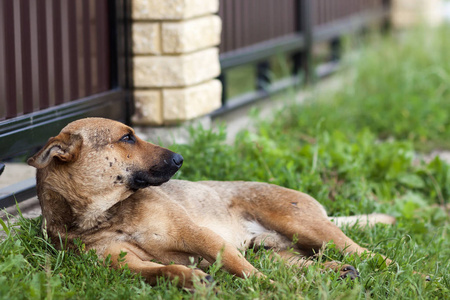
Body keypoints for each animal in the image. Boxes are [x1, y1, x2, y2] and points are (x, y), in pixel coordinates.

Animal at [27, 117, 398, 288]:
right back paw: (337, 272)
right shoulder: (119, 262)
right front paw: (190, 279)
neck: (105, 215)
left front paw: (268, 289)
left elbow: (244, 271)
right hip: (272, 250)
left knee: (369, 254)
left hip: (309, 228)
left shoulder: (202, 237)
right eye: (127, 138)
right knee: (301, 263)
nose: (180, 159)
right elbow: (161, 269)